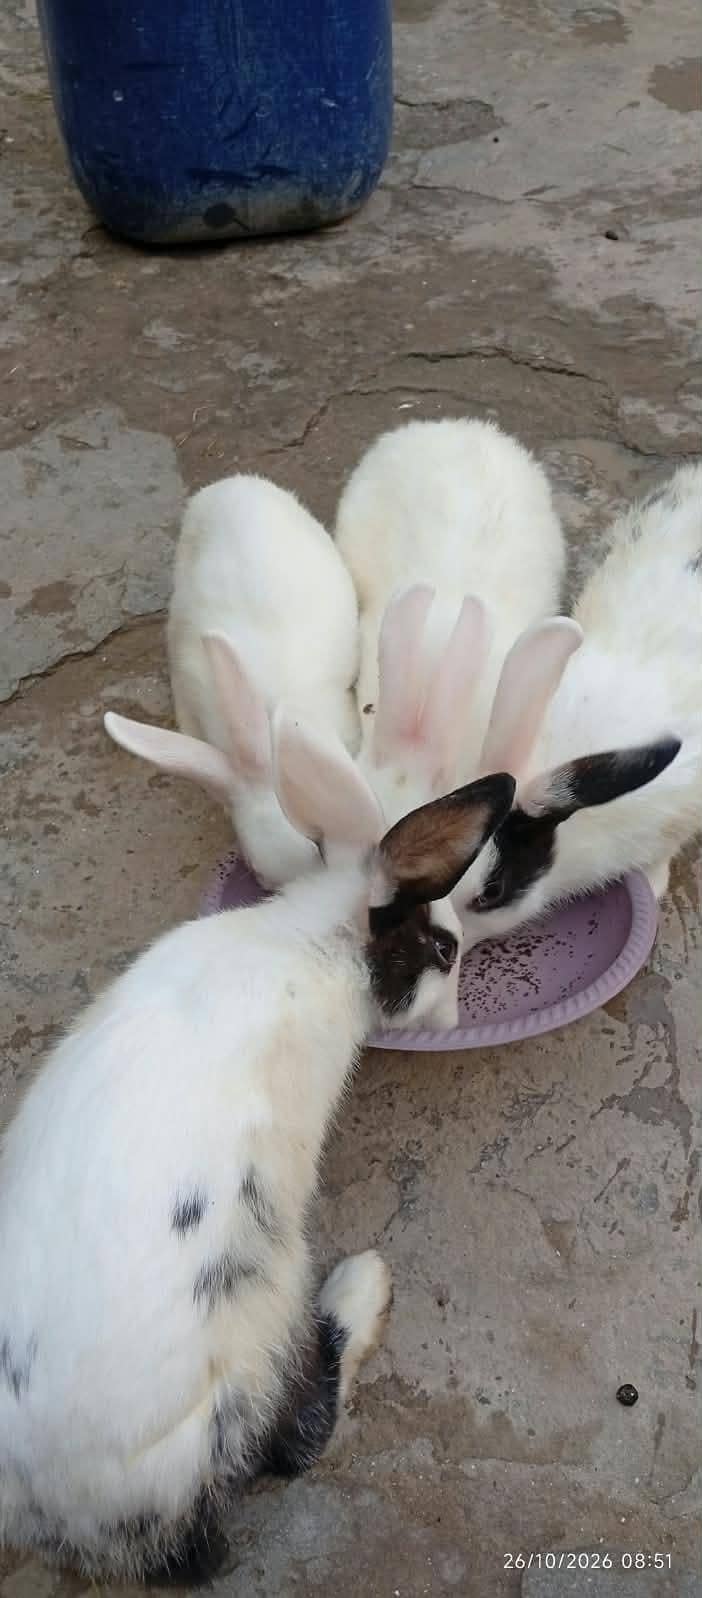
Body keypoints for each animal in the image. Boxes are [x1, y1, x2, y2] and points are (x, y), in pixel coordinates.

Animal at [0, 711, 515, 1583]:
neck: (313, 939)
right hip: (264, 1309)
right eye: (443, 950)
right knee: (291, 1442)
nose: (450, 1020)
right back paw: (362, 1287)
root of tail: (77, 1520)